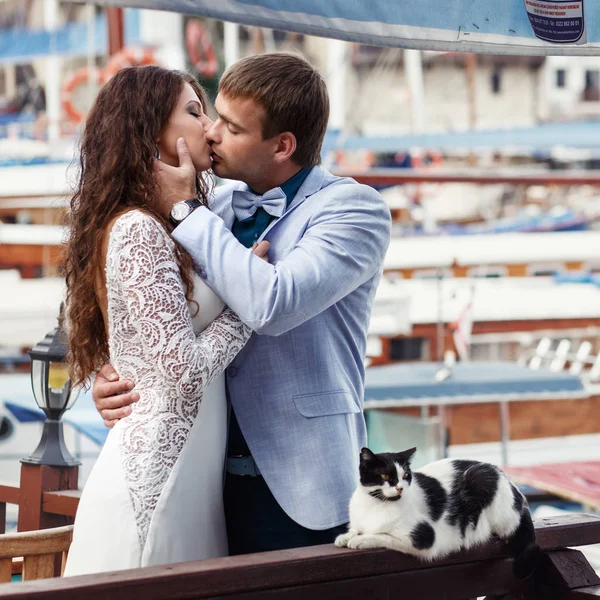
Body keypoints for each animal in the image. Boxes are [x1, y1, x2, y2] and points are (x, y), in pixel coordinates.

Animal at [336, 448, 540, 580]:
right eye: (385, 476)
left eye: (406, 475)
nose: (400, 488)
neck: (376, 504)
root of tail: (518, 492)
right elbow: (356, 528)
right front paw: (346, 536)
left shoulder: (424, 538)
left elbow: (383, 536)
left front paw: (361, 539)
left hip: (482, 481)